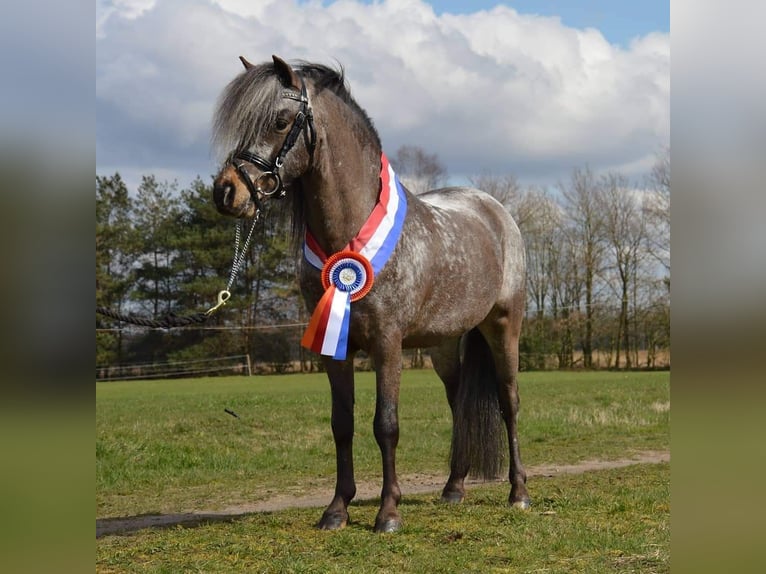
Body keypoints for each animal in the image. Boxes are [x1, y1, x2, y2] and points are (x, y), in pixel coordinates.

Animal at [213, 56, 532, 532]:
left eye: (280, 121)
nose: (226, 191)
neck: (350, 232)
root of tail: (495, 211)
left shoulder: (387, 343)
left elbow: (387, 424)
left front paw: (388, 513)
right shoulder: (333, 348)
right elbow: (342, 424)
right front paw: (336, 510)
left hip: (503, 327)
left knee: (508, 401)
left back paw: (519, 492)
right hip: (444, 343)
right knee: (458, 402)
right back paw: (454, 488)